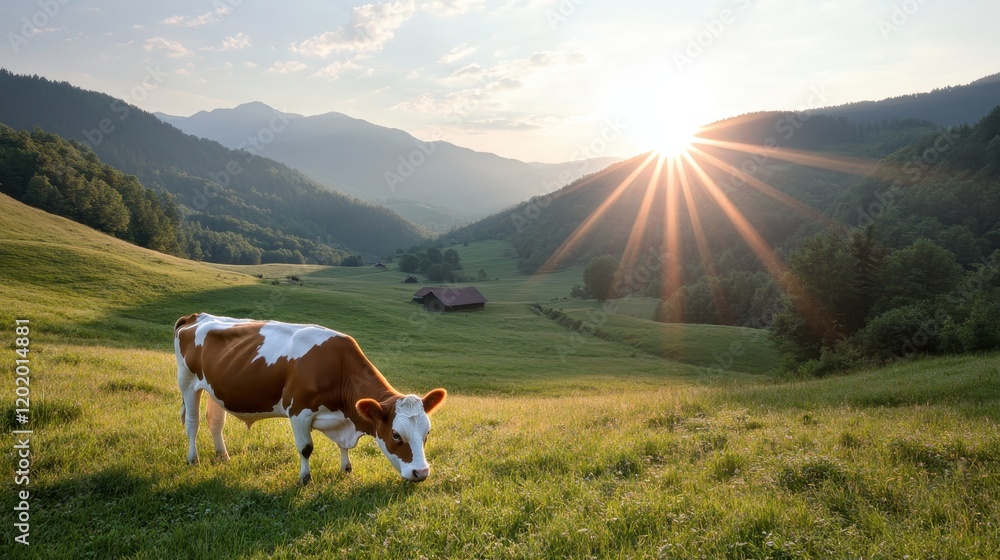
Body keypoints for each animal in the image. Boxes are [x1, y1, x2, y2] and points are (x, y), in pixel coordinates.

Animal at [173, 312, 447, 485]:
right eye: (396, 435)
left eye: (427, 433)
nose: (421, 472)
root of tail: (196, 316)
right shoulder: (299, 411)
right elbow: (306, 448)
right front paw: (305, 479)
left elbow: (342, 447)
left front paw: (346, 469)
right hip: (187, 382)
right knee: (192, 424)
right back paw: (192, 459)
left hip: (215, 388)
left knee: (215, 422)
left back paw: (223, 456)